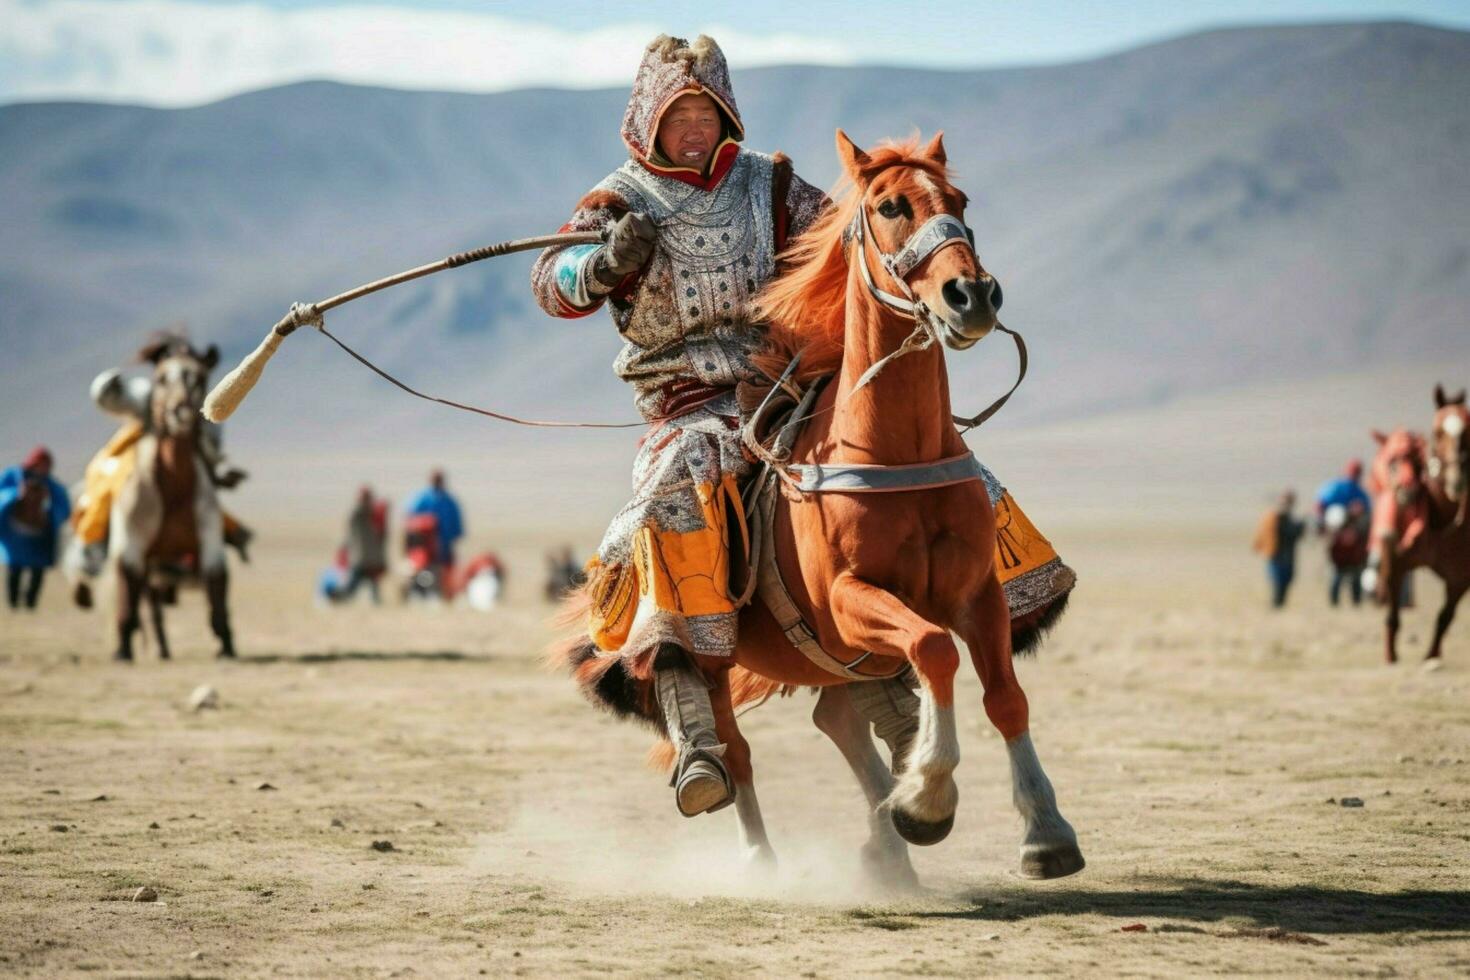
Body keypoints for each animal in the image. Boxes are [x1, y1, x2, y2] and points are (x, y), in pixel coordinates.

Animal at [111, 340, 233, 664]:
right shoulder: (132, 545)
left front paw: (226, 647)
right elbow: (127, 591)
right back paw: (154, 647)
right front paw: (123, 650)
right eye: (162, 378)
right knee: (147, 606)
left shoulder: (210, 538)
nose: (180, 411)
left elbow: (217, 587)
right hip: (151, 569)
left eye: (200, 378)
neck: (175, 490)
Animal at [1364, 382, 1470, 667]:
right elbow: (1392, 615)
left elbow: (1444, 618)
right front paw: (1391, 656)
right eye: (1437, 431)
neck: (1440, 516)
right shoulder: (1396, 562)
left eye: (1468, 429)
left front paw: (1431, 656)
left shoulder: (1459, 579)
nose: (1456, 481)